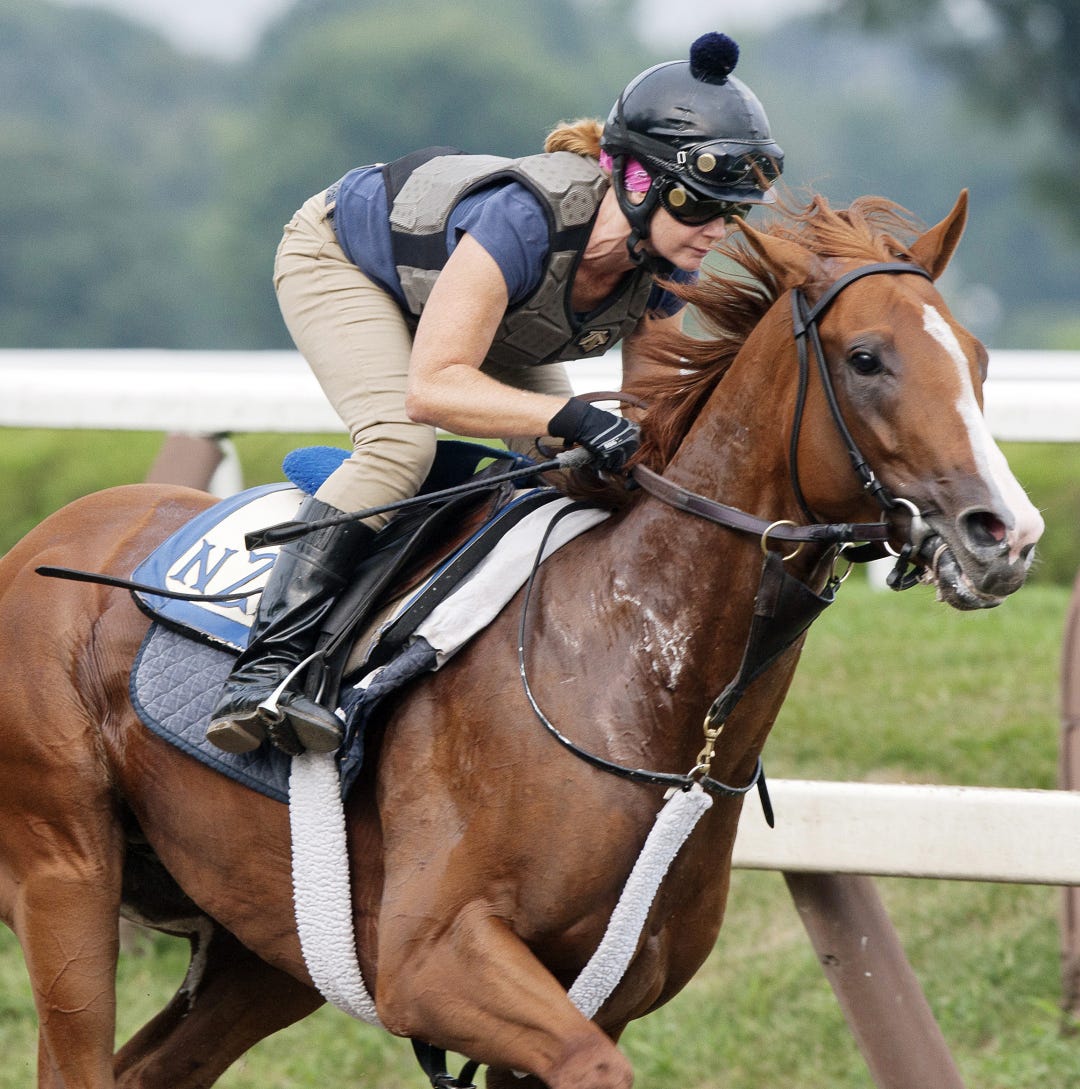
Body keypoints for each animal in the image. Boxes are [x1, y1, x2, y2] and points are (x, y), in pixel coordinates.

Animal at [0, 189, 1044, 1089]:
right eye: (867, 357)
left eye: (980, 359)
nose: (1008, 534)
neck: (633, 678)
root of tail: (40, 543)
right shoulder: (433, 959)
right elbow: (592, 1065)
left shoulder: (595, 994)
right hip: (67, 872)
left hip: (266, 942)